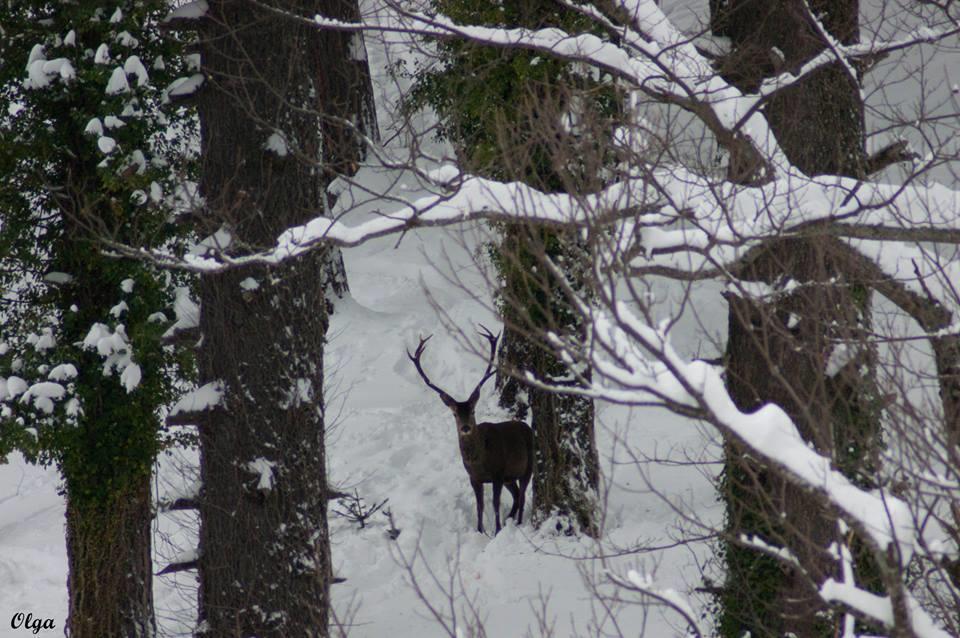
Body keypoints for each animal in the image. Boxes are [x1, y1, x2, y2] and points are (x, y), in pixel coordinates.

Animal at [408, 328, 536, 536]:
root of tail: (528, 428)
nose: (466, 427)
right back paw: (510, 520)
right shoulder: (474, 478)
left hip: (528, 466)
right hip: (510, 476)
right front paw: (480, 531)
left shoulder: (498, 472)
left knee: (523, 495)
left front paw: (497, 531)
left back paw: (515, 522)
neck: (479, 461)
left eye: (473, 411)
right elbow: (479, 506)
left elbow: (494, 504)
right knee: (517, 495)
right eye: (454, 414)